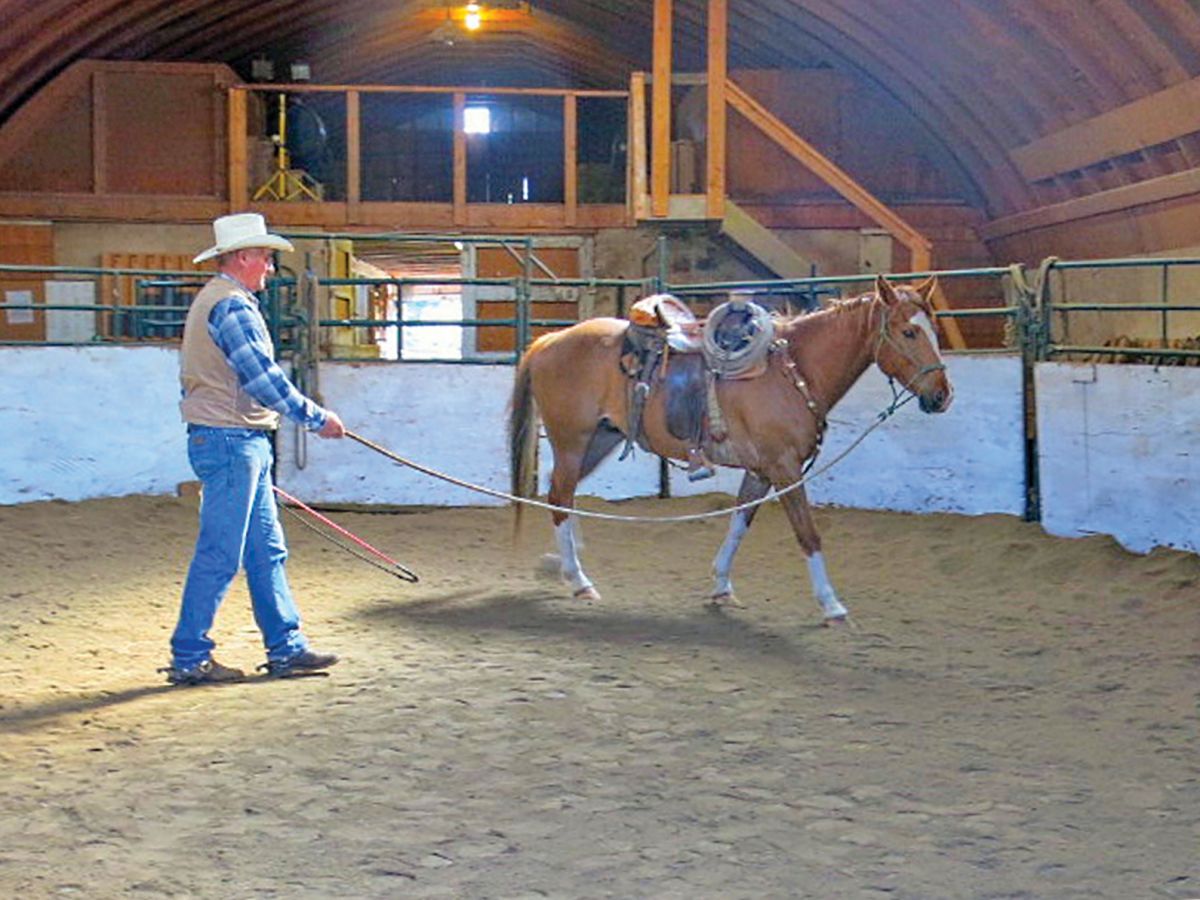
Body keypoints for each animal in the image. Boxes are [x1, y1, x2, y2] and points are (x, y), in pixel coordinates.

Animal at [508, 274, 953, 623]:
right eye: (909, 332)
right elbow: (807, 533)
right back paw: (579, 578)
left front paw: (721, 585)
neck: (794, 371)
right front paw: (832, 605)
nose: (942, 396)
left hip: (600, 438)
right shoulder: (785, 467)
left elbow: (740, 522)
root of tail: (549, 339)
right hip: (573, 440)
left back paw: (566, 568)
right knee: (560, 495)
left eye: (934, 330)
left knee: (562, 496)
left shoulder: (760, 471)